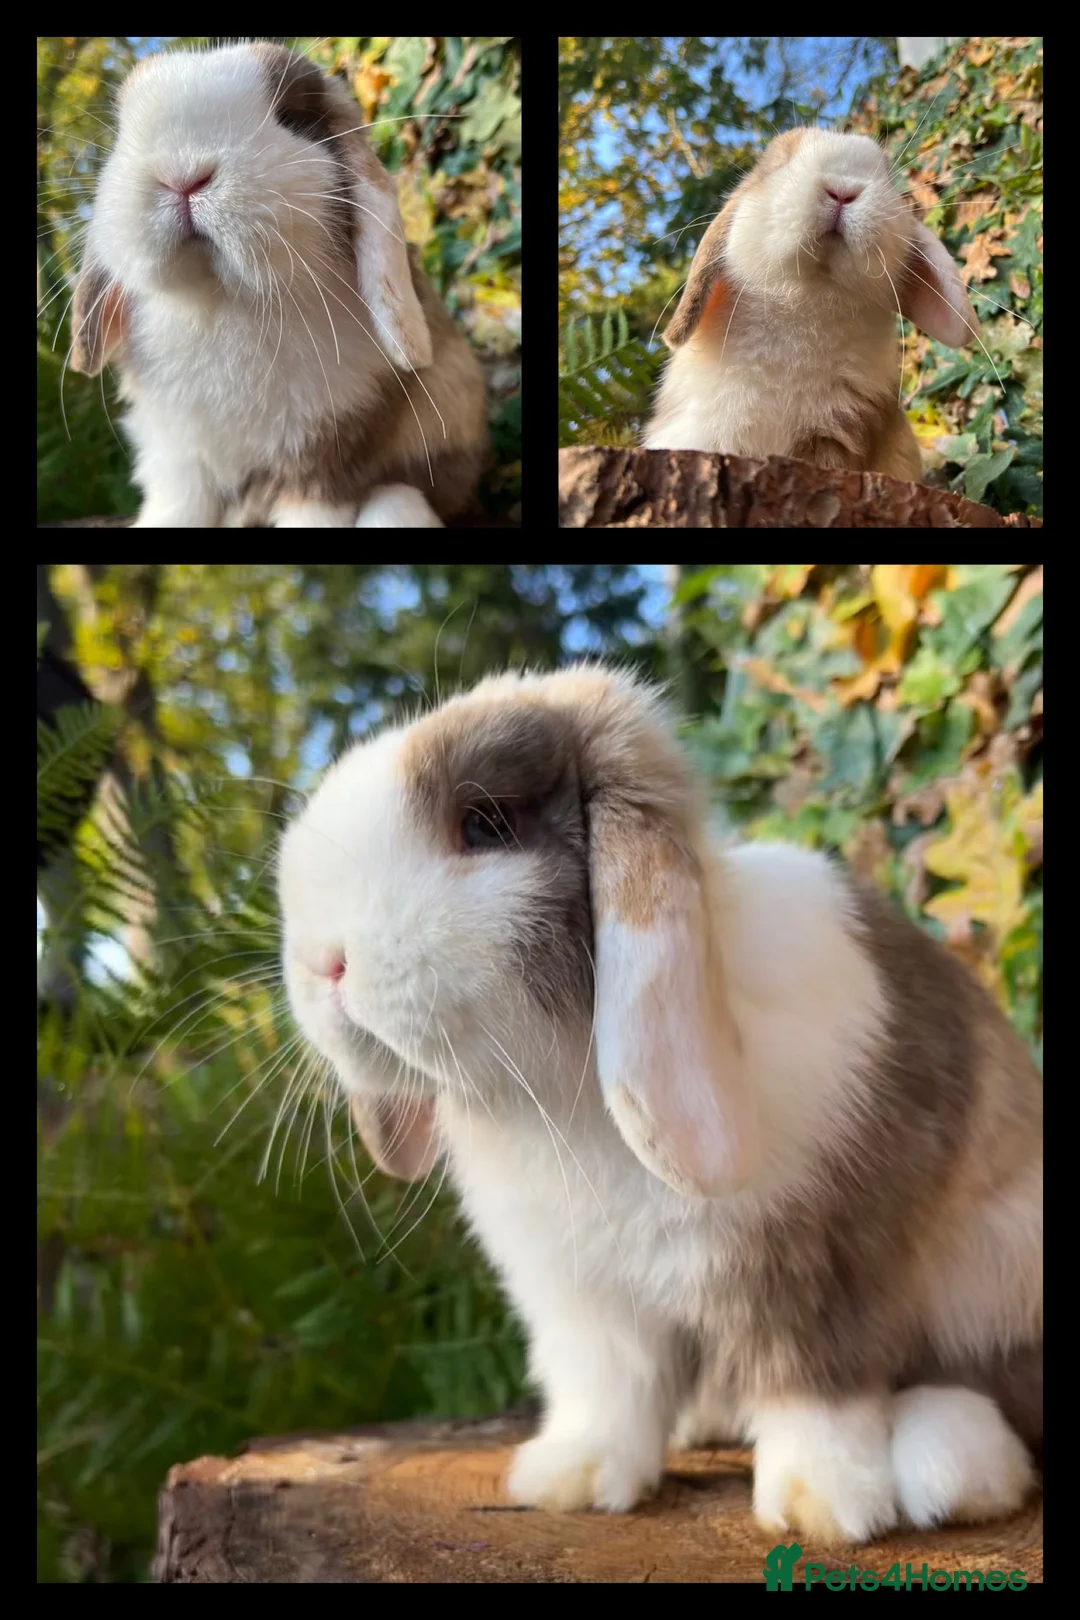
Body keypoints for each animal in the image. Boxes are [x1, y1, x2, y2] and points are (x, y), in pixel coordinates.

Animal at [68, 42, 486, 528]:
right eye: (122, 132)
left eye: (290, 118)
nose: (182, 175)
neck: (221, 303)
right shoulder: (180, 458)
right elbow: (178, 506)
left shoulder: (328, 458)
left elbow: (316, 509)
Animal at [278, 663, 1042, 1547]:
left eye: (484, 825)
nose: (321, 962)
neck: (563, 1092)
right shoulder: (587, 1303)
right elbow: (610, 1391)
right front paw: (569, 1479)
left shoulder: (818, 1265)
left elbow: (815, 1386)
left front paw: (823, 1504)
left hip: (997, 1268)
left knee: (995, 1387)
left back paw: (952, 1469)